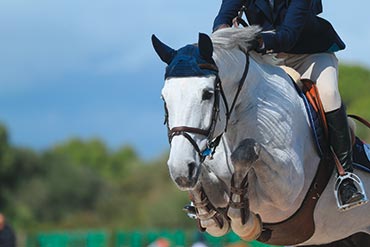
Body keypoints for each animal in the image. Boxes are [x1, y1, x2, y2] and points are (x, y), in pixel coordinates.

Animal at [152, 26, 370, 246]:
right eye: (164, 98)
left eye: (207, 94)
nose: (180, 170)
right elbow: (211, 208)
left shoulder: (285, 189)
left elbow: (247, 150)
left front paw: (245, 221)